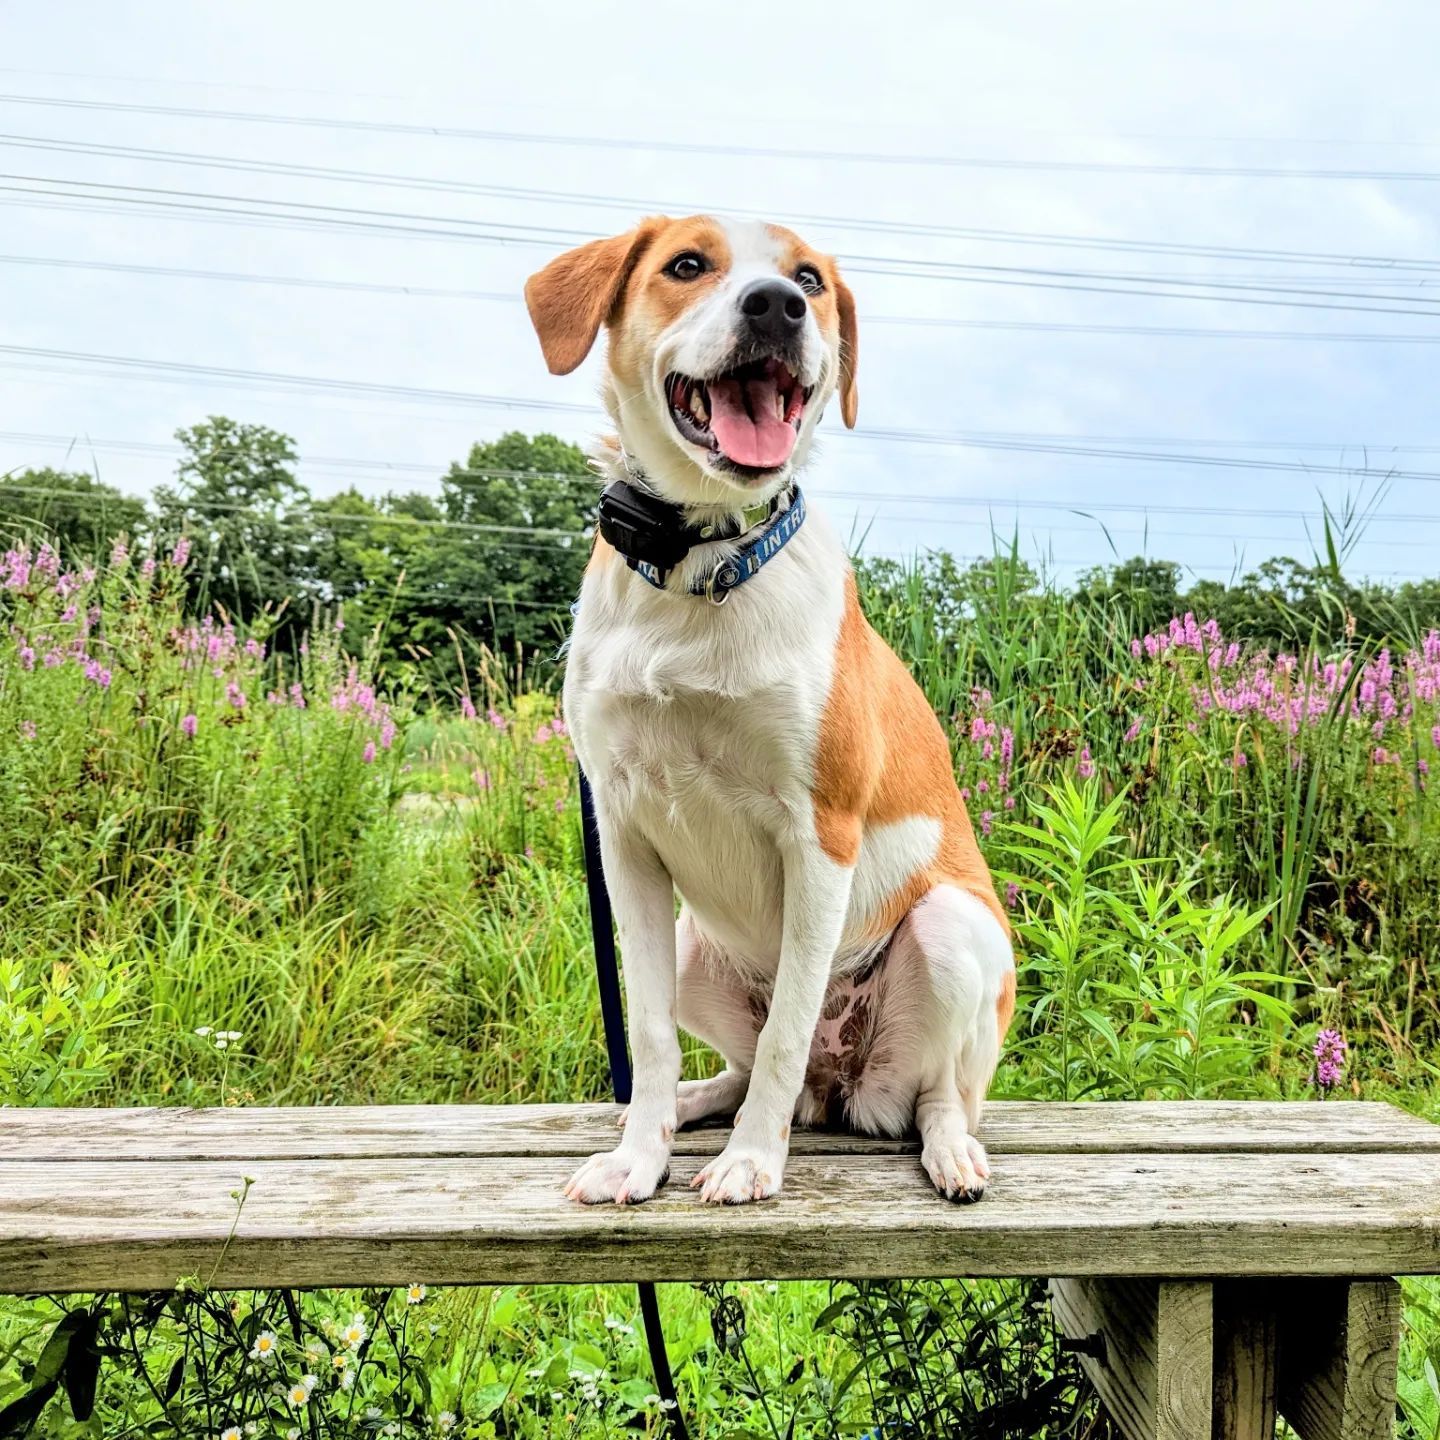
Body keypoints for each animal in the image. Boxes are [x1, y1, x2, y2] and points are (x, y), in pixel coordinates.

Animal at [527, 213, 1013, 1203]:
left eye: (810, 280)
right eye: (686, 264)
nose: (777, 306)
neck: (701, 567)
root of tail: (843, 1088)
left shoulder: (819, 835)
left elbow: (789, 1026)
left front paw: (753, 1162)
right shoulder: (623, 835)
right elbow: (651, 1035)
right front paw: (639, 1156)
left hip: (951, 930)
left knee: (930, 1093)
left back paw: (948, 1153)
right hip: (691, 947)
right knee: (745, 1067)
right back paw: (694, 1106)